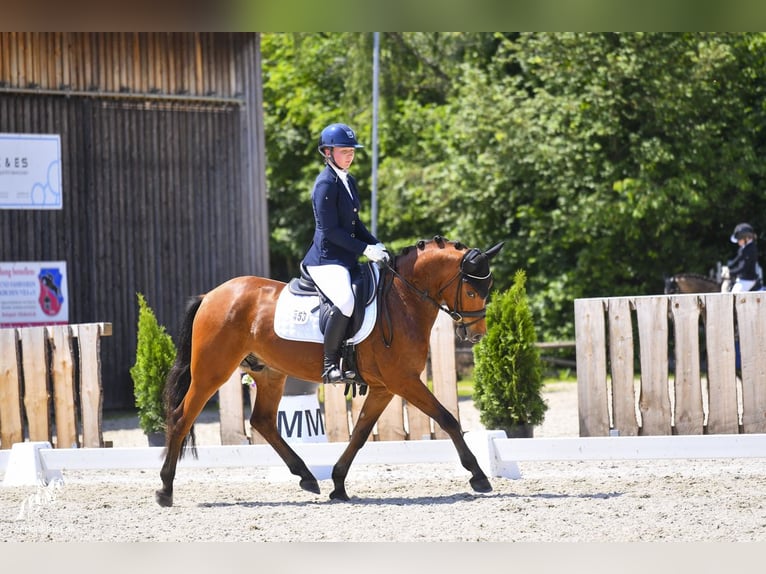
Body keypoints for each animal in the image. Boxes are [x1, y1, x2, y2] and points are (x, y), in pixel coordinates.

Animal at [155, 236, 504, 506]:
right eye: (471, 292)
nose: (477, 335)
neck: (402, 300)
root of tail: (211, 295)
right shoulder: (403, 381)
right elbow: (447, 419)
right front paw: (479, 476)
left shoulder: (385, 387)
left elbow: (360, 433)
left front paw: (338, 484)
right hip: (212, 372)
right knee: (181, 417)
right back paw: (165, 490)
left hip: (270, 373)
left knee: (262, 421)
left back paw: (307, 477)